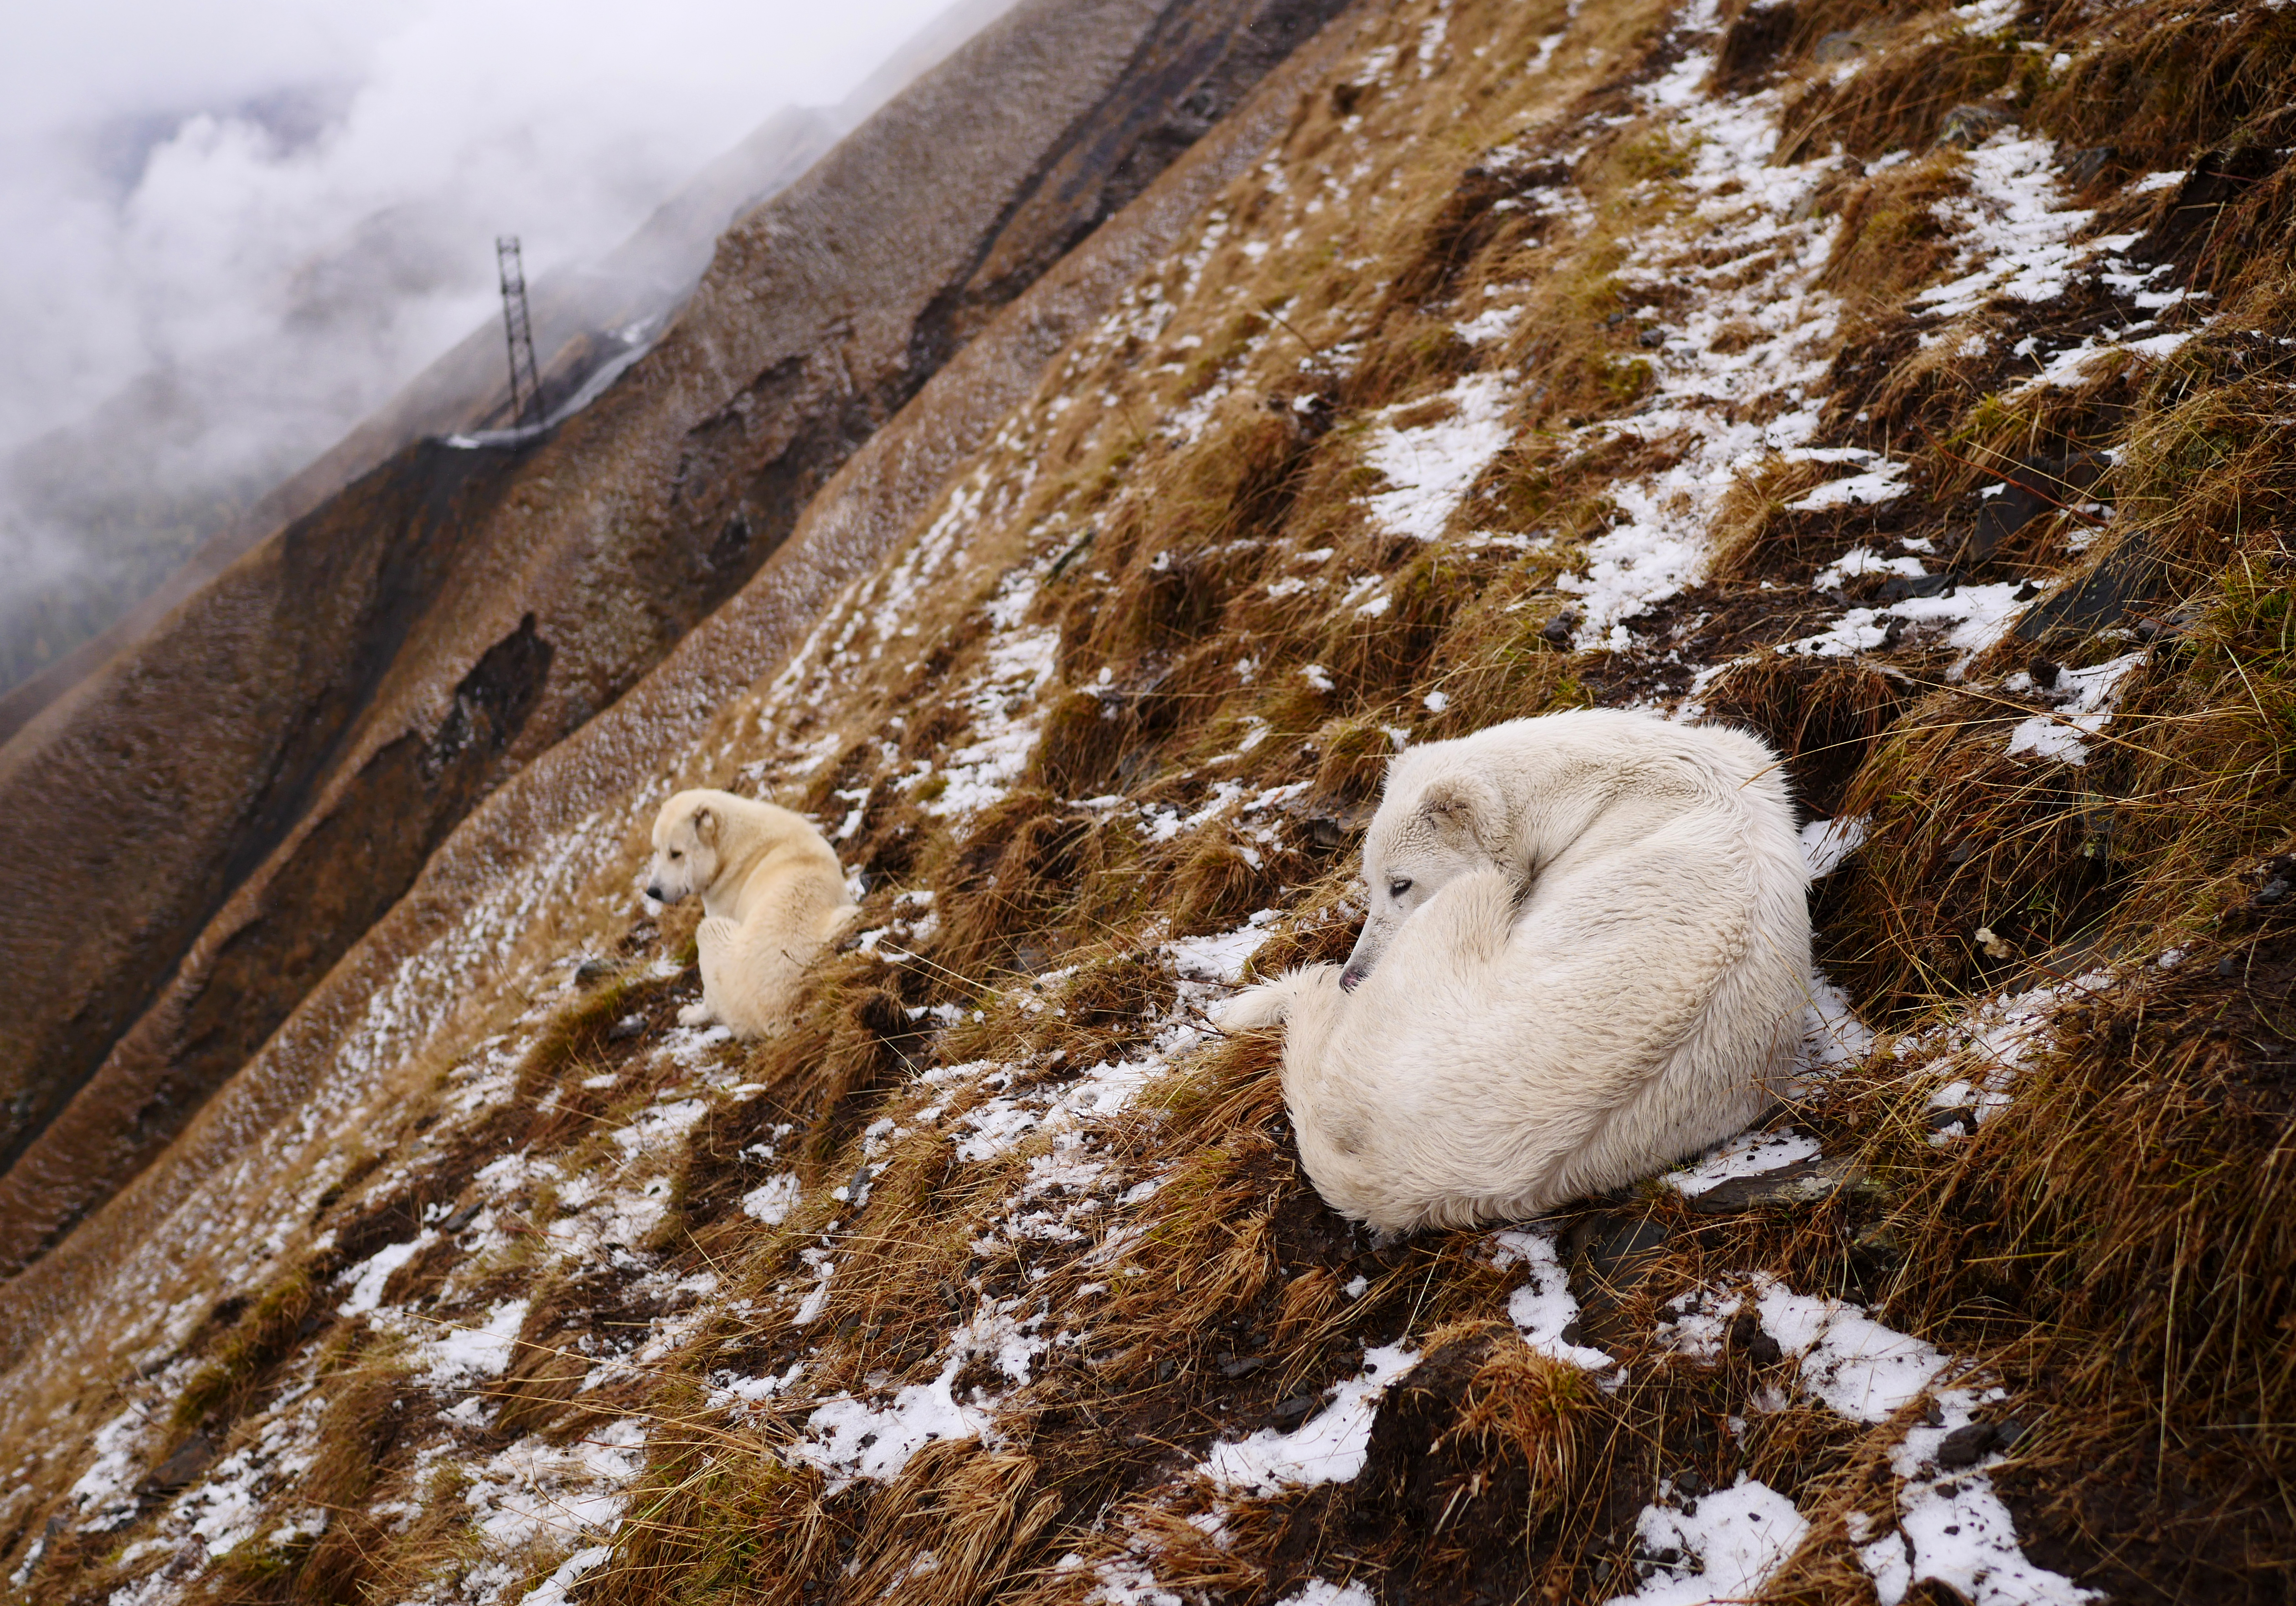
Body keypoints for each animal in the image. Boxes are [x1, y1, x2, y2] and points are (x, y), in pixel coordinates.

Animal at [647, 790, 863, 1043]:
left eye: (676, 854)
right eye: (657, 849)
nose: (653, 891)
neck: (731, 849)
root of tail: (779, 1016)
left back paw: (691, 1014)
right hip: (845, 919)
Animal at [1221, 707, 1809, 1240]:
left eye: (1401, 883)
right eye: (1371, 880)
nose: (1353, 975)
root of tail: (1404, 1173)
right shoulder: (1754, 757)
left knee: (1473, 897)